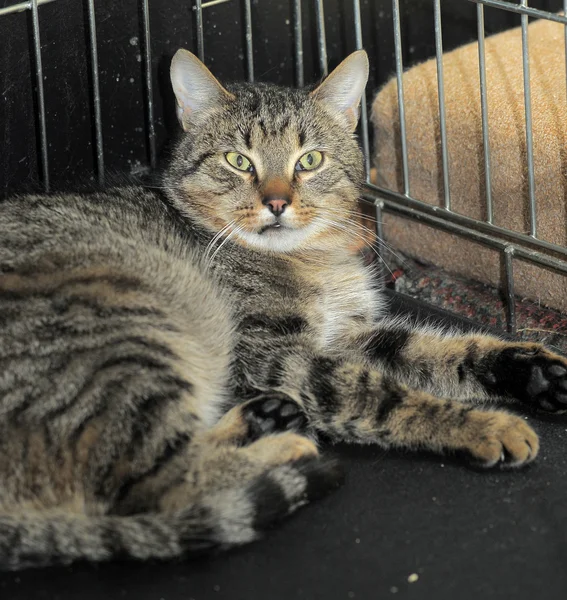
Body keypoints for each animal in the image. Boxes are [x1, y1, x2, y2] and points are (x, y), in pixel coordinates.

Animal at [1, 49, 567, 568]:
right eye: (238, 161)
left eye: (309, 161)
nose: (276, 202)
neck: (310, 259)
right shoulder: (277, 355)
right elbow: (380, 396)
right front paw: (482, 426)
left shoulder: (352, 335)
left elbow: (442, 351)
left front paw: (530, 370)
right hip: (132, 343)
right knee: (150, 487)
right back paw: (281, 450)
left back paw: (263, 418)